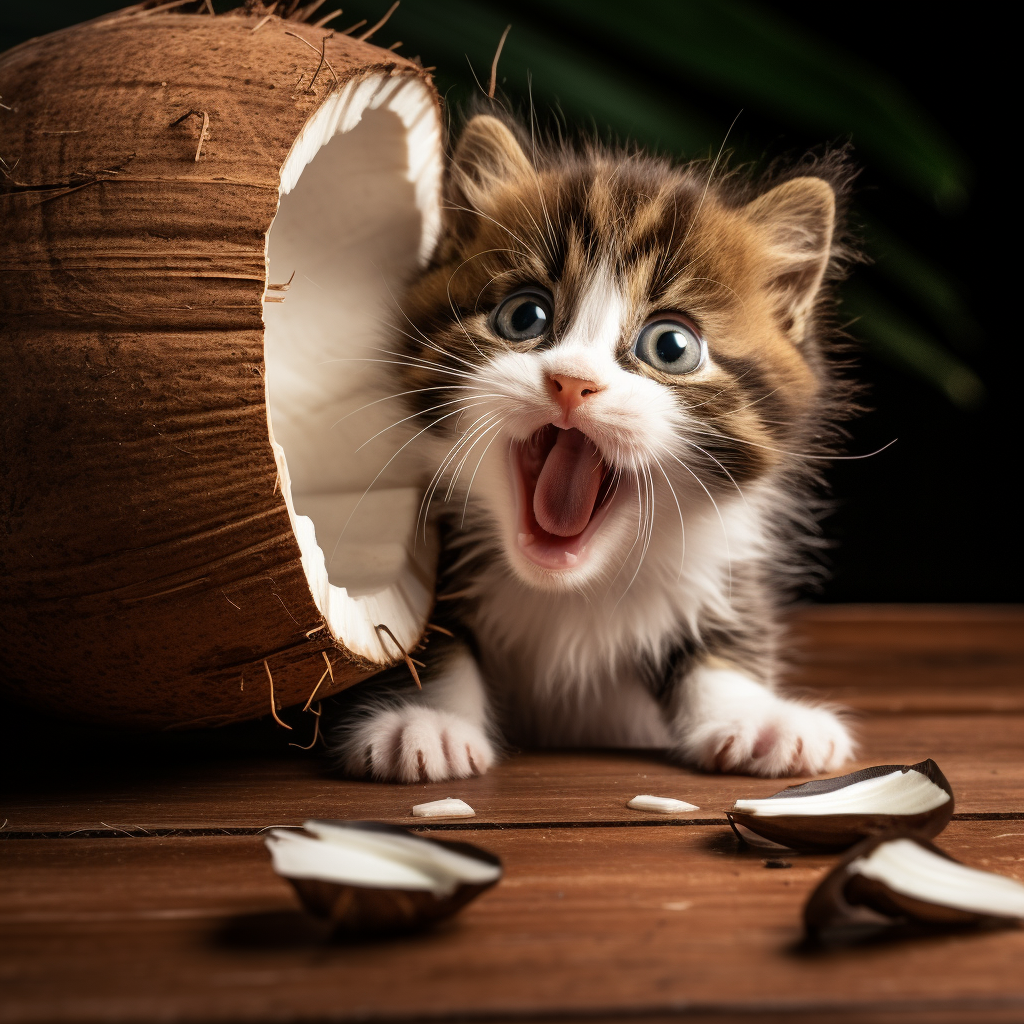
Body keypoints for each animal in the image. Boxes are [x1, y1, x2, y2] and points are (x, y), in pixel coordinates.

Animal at [327, 112, 856, 778]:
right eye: (523, 316)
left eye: (672, 347)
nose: (573, 381)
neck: (573, 588)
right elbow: (415, 627)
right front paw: (425, 719)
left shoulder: (722, 553)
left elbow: (727, 627)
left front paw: (755, 717)